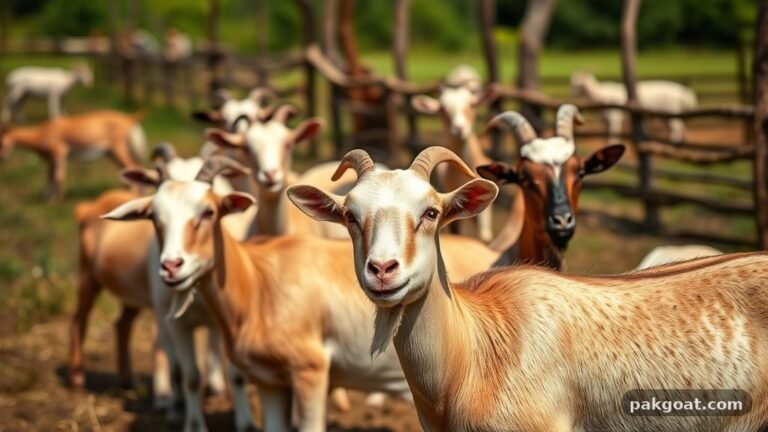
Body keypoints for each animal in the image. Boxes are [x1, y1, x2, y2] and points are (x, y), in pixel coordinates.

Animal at [0, 110, 146, 200]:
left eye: (2, 143)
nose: (3, 158)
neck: (41, 133)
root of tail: (131, 119)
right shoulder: (51, 160)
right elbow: (49, 177)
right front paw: (47, 197)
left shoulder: (60, 153)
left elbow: (58, 176)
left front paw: (56, 201)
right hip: (111, 153)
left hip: (118, 150)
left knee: (132, 166)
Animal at [104, 155, 498, 431]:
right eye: (153, 217)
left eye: (209, 211)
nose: (172, 267)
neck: (257, 284)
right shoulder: (269, 382)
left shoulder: (310, 370)